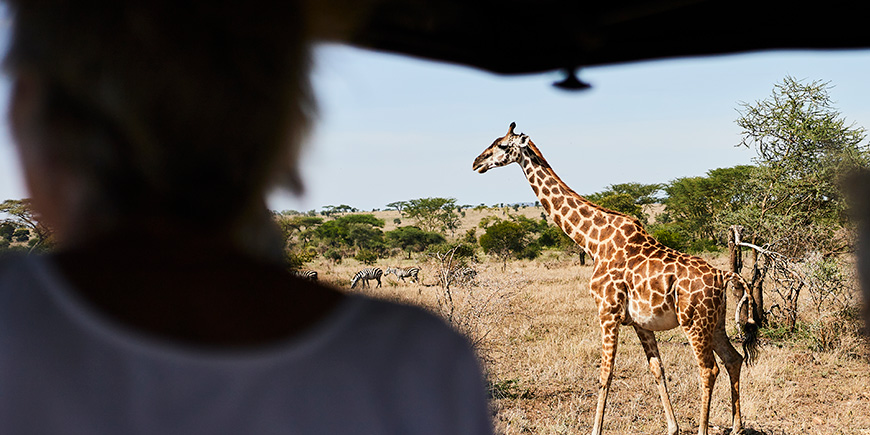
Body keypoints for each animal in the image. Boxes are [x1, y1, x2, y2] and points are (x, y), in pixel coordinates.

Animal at [474, 122, 760, 435]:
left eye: (502, 145)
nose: (477, 162)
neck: (594, 242)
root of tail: (722, 274)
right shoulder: (639, 322)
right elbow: (657, 369)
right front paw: (672, 427)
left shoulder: (607, 312)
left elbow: (605, 373)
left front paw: (595, 430)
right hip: (714, 321)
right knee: (733, 358)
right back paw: (737, 426)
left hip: (694, 321)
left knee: (709, 369)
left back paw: (704, 429)